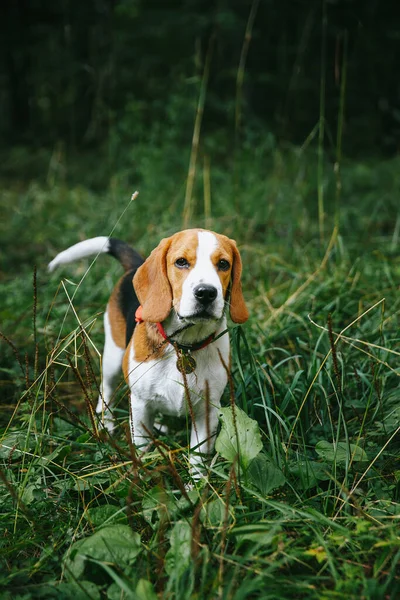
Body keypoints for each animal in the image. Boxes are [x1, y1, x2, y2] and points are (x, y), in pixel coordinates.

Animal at [48, 230, 248, 474]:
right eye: (181, 262)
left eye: (223, 264)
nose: (206, 293)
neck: (183, 345)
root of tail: (135, 266)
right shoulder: (140, 405)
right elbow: (142, 447)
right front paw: (142, 475)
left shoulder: (207, 412)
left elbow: (197, 459)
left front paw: (196, 484)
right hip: (113, 357)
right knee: (107, 389)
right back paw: (107, 423)